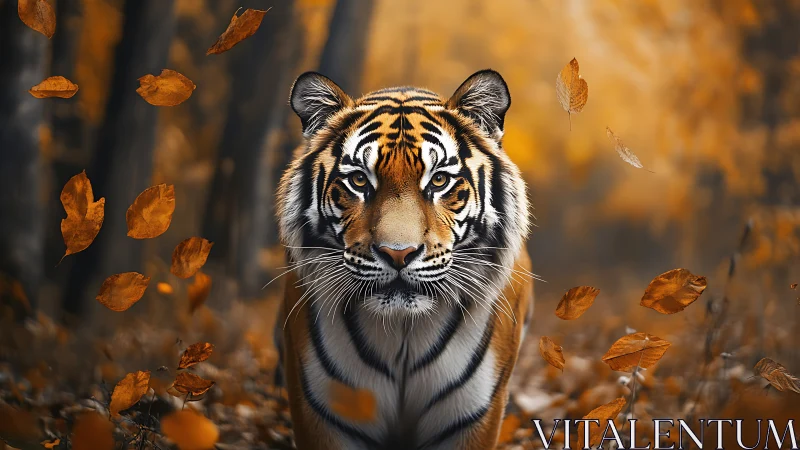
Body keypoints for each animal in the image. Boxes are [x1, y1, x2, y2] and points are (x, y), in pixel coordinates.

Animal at [274, 69, 535, 450]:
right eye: (358, 180)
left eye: (439, 180)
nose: (398, 253)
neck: (402, 334)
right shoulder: (323, 414)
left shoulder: (473, 418)